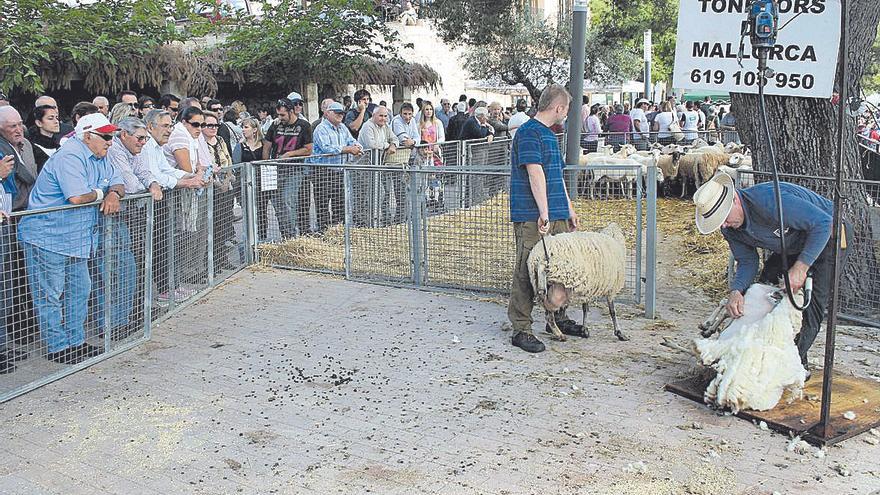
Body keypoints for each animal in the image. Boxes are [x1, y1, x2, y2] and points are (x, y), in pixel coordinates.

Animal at [692, 282, 808, 414]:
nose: (801, 288)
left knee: (726, 308)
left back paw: (708, 328)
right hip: (743, 304)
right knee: (725, 304)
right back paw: (707, 326)